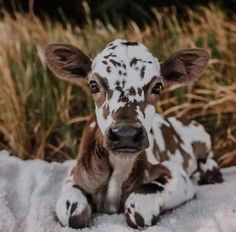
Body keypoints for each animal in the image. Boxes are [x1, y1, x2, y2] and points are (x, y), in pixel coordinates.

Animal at [44, 39, 223, 228]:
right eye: (93, 85)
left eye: (157, 87)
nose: (126, 134)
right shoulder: (74, 175)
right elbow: (72, 214)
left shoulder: (177, 175)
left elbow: (138, 208)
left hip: (201, 133)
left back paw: (210, 173)